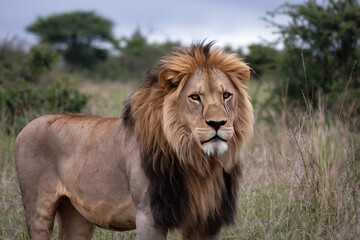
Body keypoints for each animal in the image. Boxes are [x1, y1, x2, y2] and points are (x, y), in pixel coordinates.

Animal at [14, 40, 253, 238]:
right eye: (195, 97)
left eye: (226, 95)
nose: (217, 123)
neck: (198, 163)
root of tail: (24, 128)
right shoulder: (149, 216)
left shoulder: (207, 221)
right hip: (38, 209)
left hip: (76, 214)